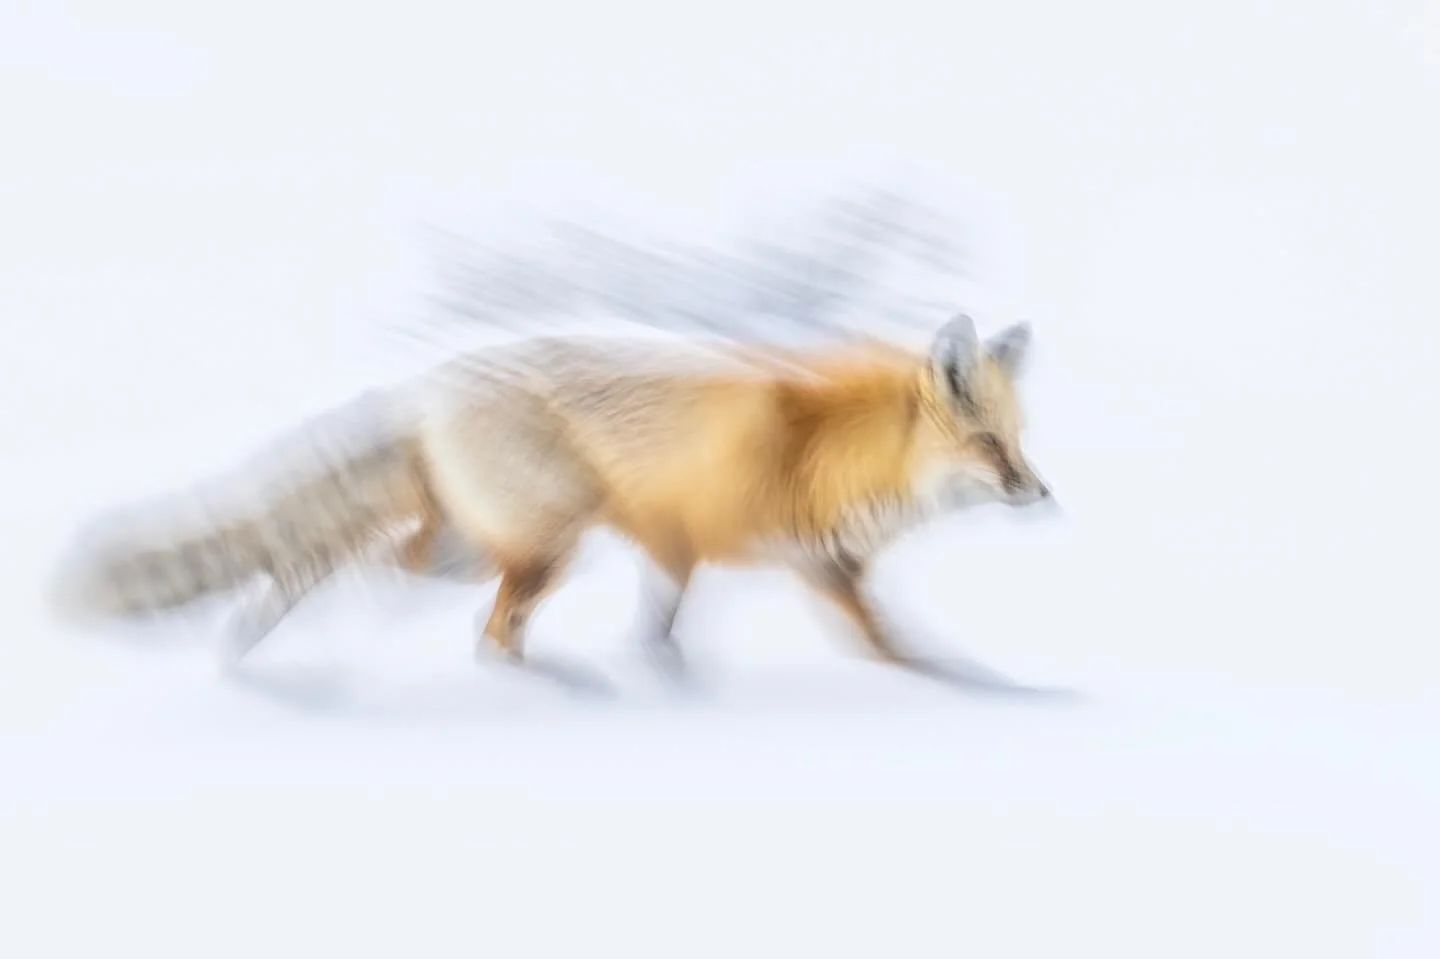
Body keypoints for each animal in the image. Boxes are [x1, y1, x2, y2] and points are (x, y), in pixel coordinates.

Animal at [50, 312, 1052, 682]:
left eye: (1020, 443)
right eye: (991, 445)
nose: (1044, 494)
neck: (824, 454)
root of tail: (425, 387)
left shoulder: (761, 556)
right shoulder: (709, 537)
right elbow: (904, 650)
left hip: (479, 546)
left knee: (382, 566)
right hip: (548, 543)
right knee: (476, 624)